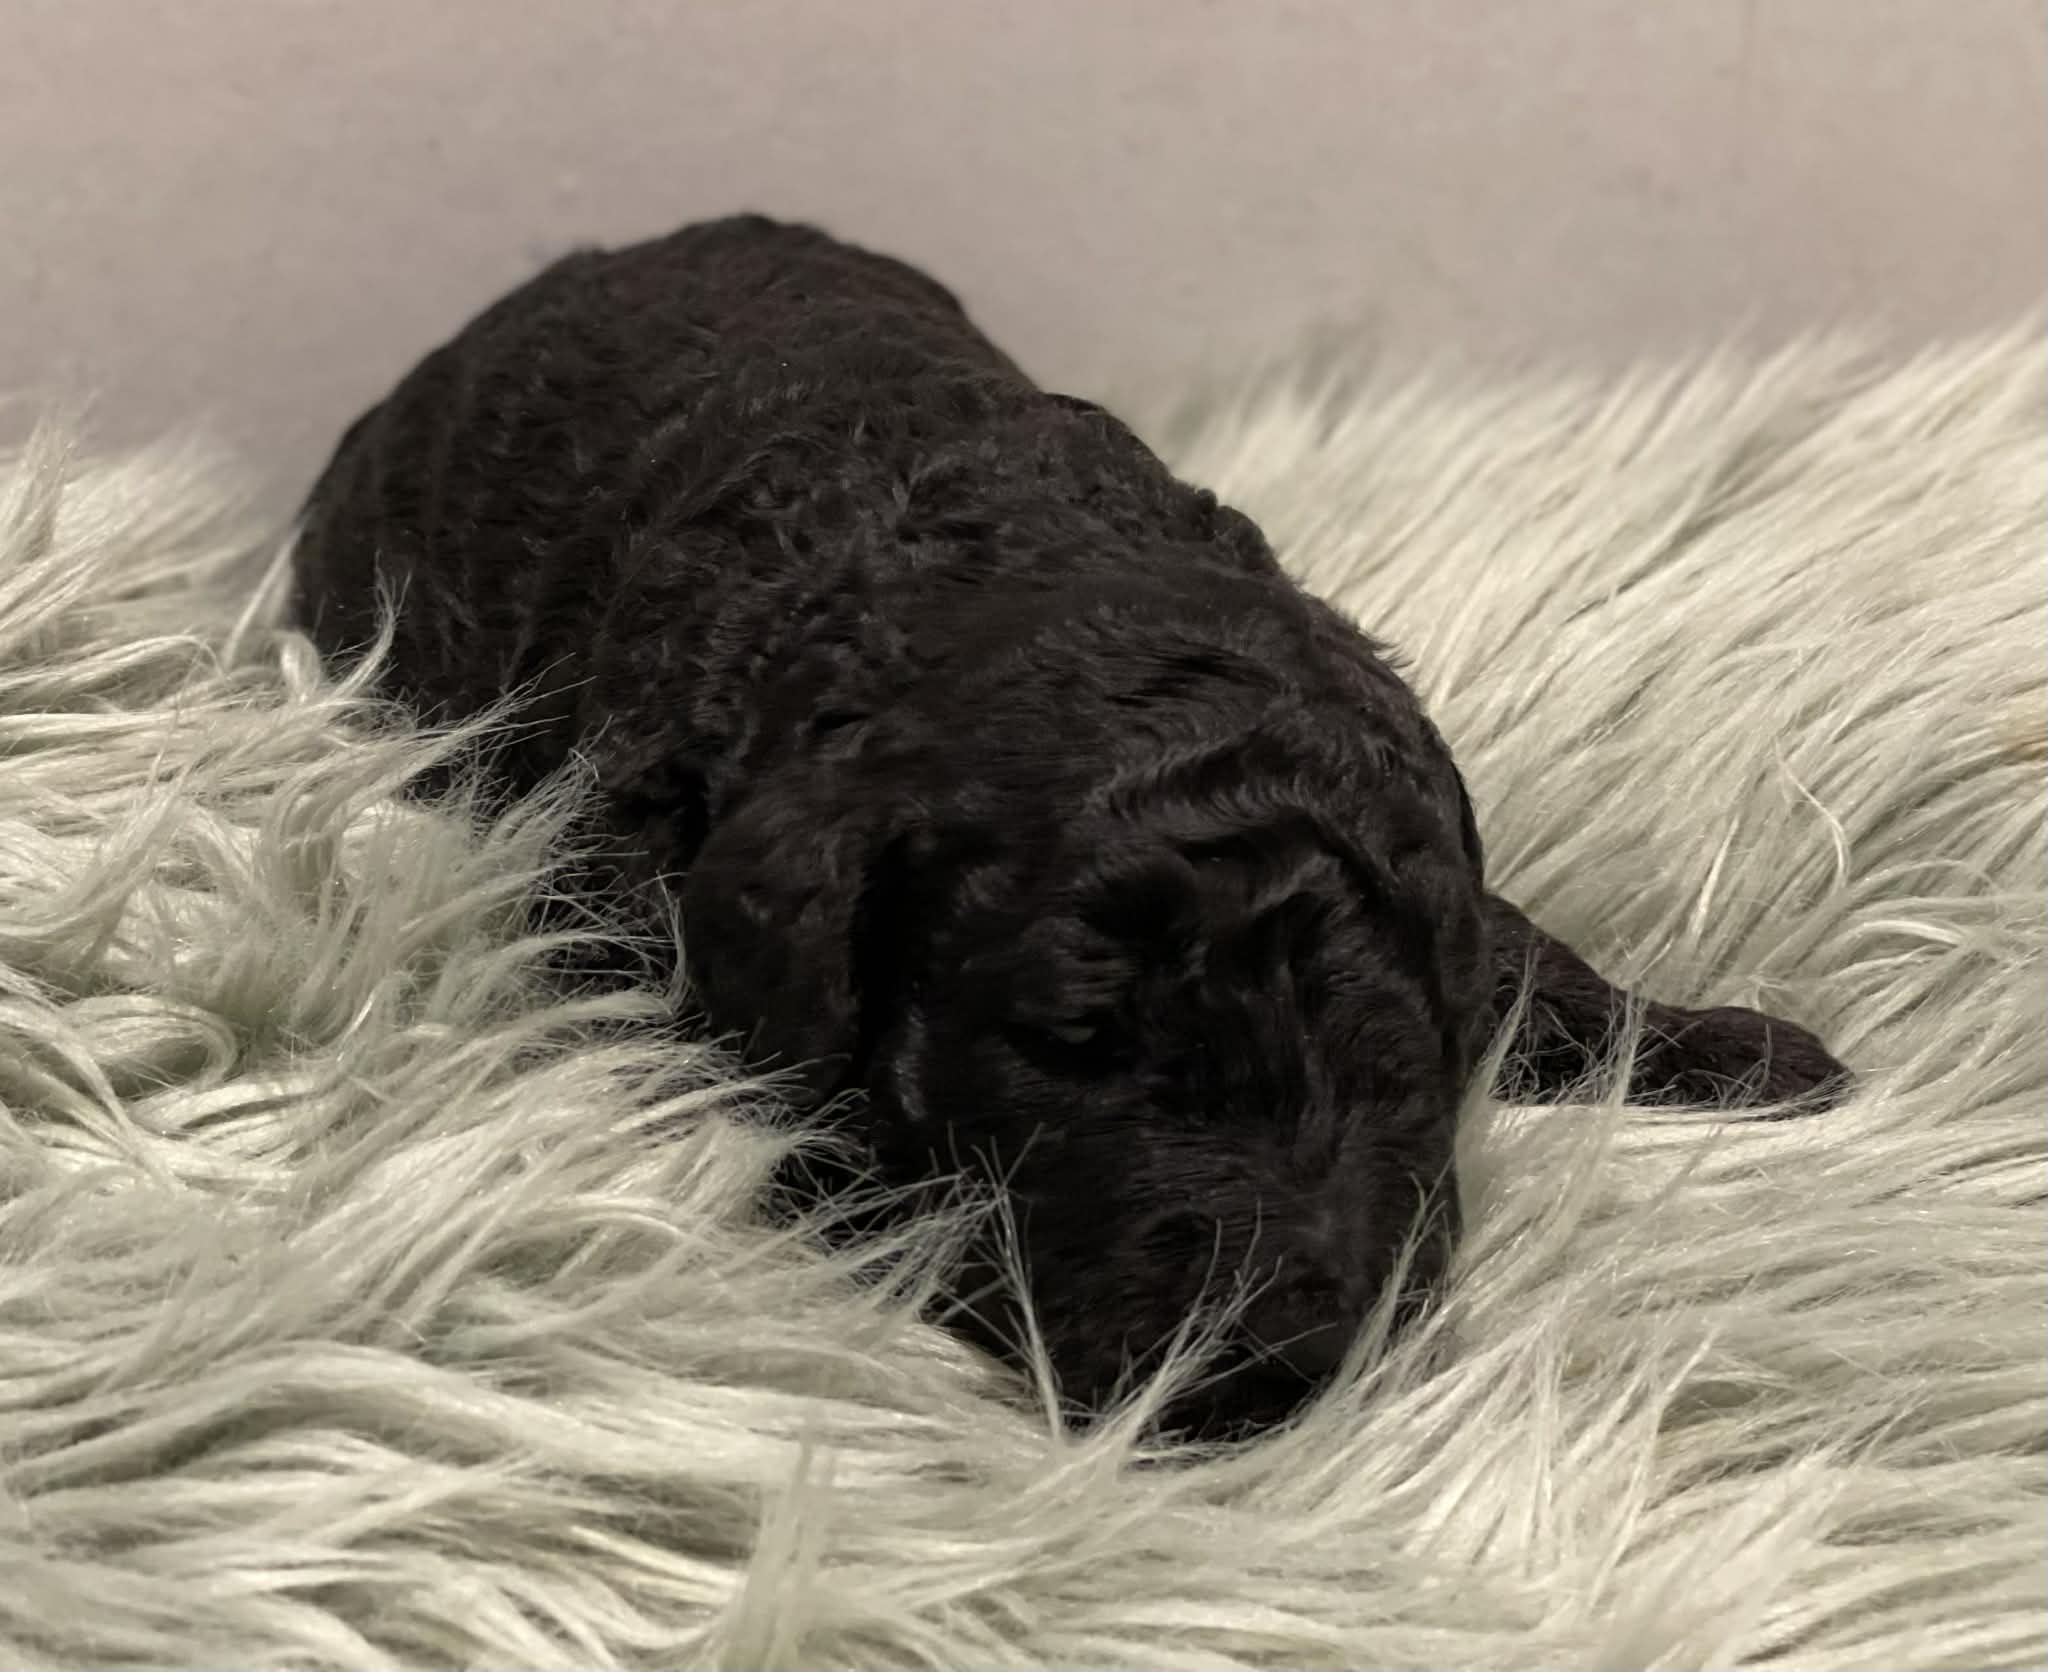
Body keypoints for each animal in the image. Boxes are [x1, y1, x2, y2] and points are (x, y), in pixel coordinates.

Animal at [291, 215, 1850, 1436]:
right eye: (1071, 1039)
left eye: (1411, 1044)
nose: (1288, 1363)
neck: (1022, 575)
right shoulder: (613, 879)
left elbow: (1528, 951)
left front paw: (1731, 1051)